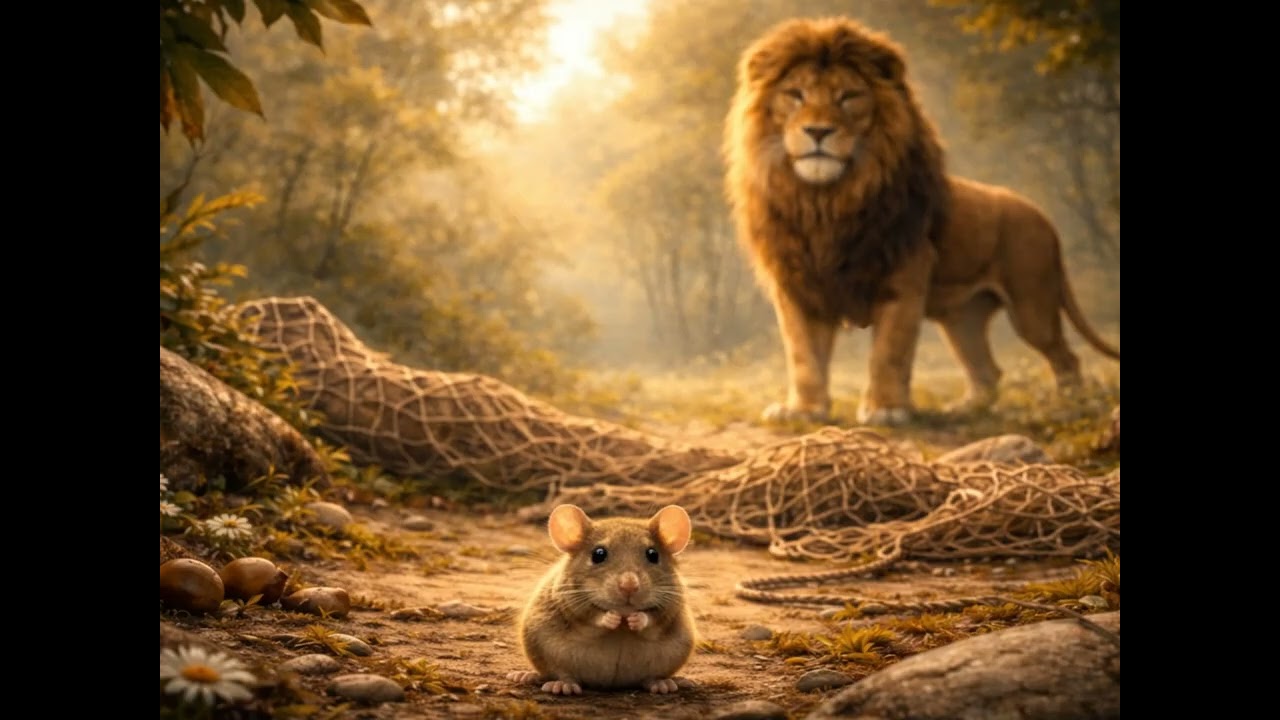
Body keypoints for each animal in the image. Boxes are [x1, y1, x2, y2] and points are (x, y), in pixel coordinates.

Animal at [723, 16, 1120, 426]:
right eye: (795, 95)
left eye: (848, 97)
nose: (818, 131)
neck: (826, 200)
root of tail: (1042, 216)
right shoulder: (798, 284)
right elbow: (802, 355)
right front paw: (803, 410)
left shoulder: (905, 275)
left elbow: (889, 351)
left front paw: (885, 409)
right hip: (963, 317)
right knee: (987, 371)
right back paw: (966, 409)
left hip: (1032, 304)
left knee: (1065, 356)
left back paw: (1072, 404)